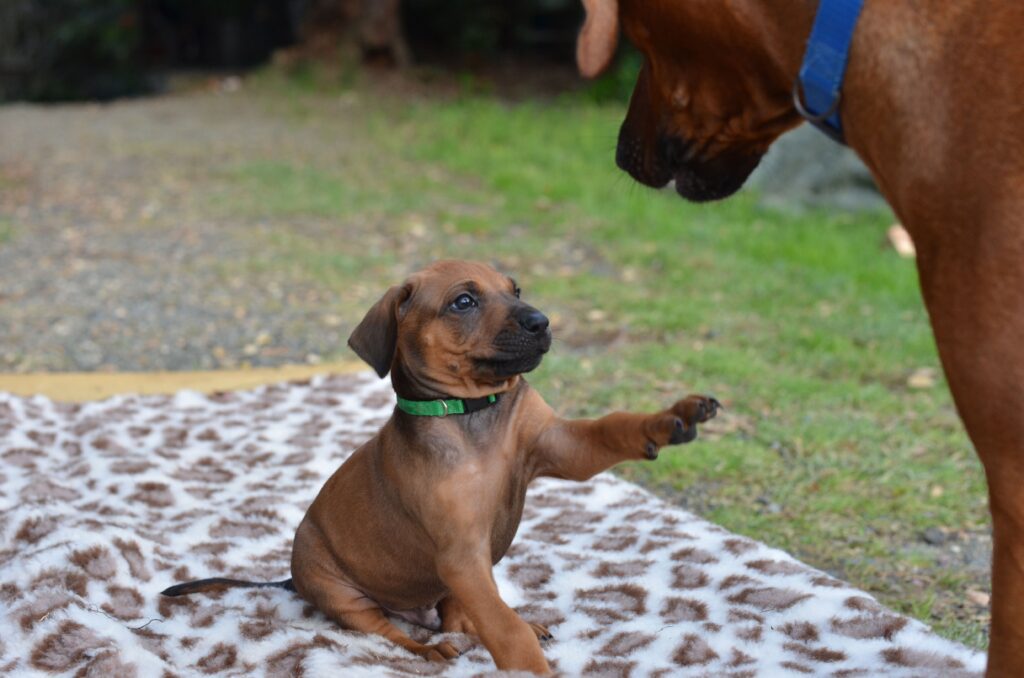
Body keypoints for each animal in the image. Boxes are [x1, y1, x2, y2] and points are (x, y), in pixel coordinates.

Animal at [161, 260, 720, 675]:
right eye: (463, 302)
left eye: (516, 289)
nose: (542, 322)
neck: (472, 415)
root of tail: (291, 580)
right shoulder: (460, 555)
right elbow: (502, 629)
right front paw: (531, 666)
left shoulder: (558, 445)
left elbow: (612, 427)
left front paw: (672, 418)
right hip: (344, 594)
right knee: (401, 635)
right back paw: (431, 649)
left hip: (447, 585)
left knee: (459, 618)